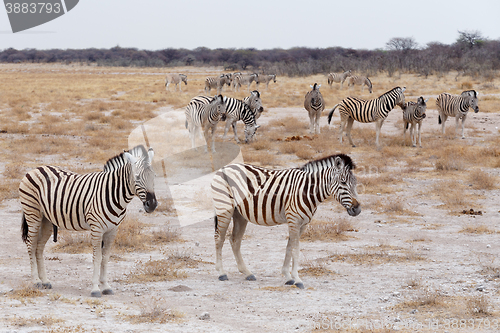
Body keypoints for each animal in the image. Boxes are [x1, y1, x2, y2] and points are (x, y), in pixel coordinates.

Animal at [19, 145, 157, 296]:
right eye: (136, 177)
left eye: (154, 176)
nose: (152, 204)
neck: (114, 194)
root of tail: (36, 168)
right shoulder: (96, 228)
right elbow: (97, 258)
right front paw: (95, 289)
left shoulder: (112, 230)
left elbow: (105, 258)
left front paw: (106, 286)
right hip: (33, 214)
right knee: (31, 245)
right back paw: (36, 281)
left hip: (46, 220)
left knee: (39, 248)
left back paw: (45, 281)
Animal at [211, 154, 360, 288]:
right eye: (343, 183)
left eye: (355, 184)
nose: (357, 209)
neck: (307, 190)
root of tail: (224, 168)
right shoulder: (294, 220)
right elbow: (295, 249)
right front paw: (297, 279)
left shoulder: (302, 224)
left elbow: (289, 248)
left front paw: (288, 277)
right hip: (224, 208)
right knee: (219, 238)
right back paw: (221, 273)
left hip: (240, 215)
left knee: (234, 240)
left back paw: (247, 273)